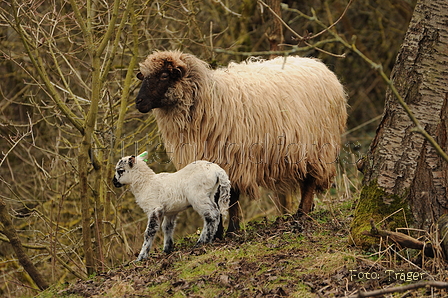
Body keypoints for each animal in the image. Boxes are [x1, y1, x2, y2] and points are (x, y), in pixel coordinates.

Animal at [135, 50, 348, 234]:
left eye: (164, 75)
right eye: (143, 76)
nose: (138, 102)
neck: (209, 99)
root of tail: (317, 64)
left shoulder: (233, 160)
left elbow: (232, 198)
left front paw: (231, 230)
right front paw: (217, 232)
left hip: (317, 146)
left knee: (310, 180)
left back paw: (302, 213)